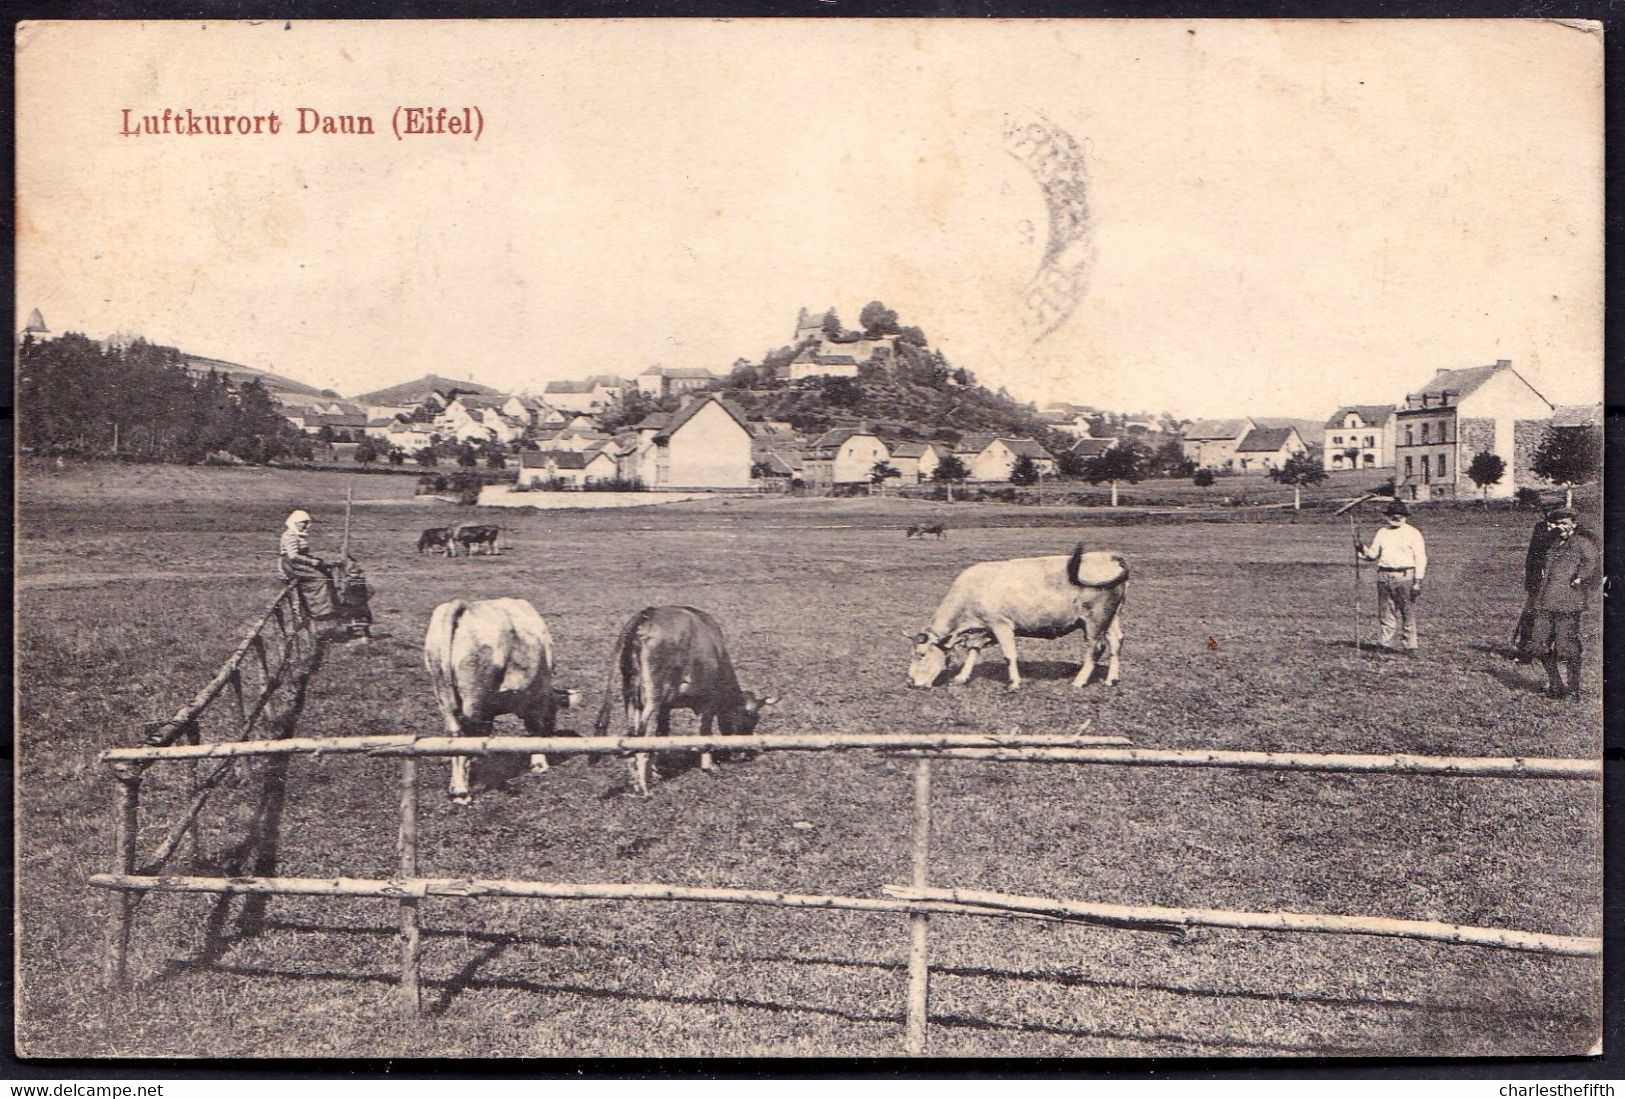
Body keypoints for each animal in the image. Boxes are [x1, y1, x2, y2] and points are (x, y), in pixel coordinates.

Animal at [425, 598, 578, 803]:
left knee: (455, 735)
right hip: (474, 696)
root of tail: (464, 605)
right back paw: (462, 793)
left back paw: (456, 788)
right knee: (466, 735)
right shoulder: (537, 698)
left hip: (443, 694)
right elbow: (535, 729)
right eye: (554, 712)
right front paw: (539, 764)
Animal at [594, 608, 776, 799]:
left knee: (631, 734)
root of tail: (646, 615)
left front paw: (654, 771)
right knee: (641, 735)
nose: (742, 754)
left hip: (630, 694)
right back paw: (644, 789)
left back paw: (635, 781)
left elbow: (662, 734)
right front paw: (709, 765)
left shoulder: (665, 706)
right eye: (749, 720)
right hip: (652, 696)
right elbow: (704, 732)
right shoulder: (708, 701)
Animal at [903, 546, 1131, 692]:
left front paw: (1014, 683)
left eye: (921, 654)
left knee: (1096, 647)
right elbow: (973, 652)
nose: (910, 682)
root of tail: (1111, 556)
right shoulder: (983, 629)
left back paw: (1079, 681)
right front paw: (962, 677)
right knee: (1116, 641)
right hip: (1112, 616)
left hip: (1095, 619)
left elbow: (1009, 654)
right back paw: (1111, 679)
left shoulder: (1001, 624)